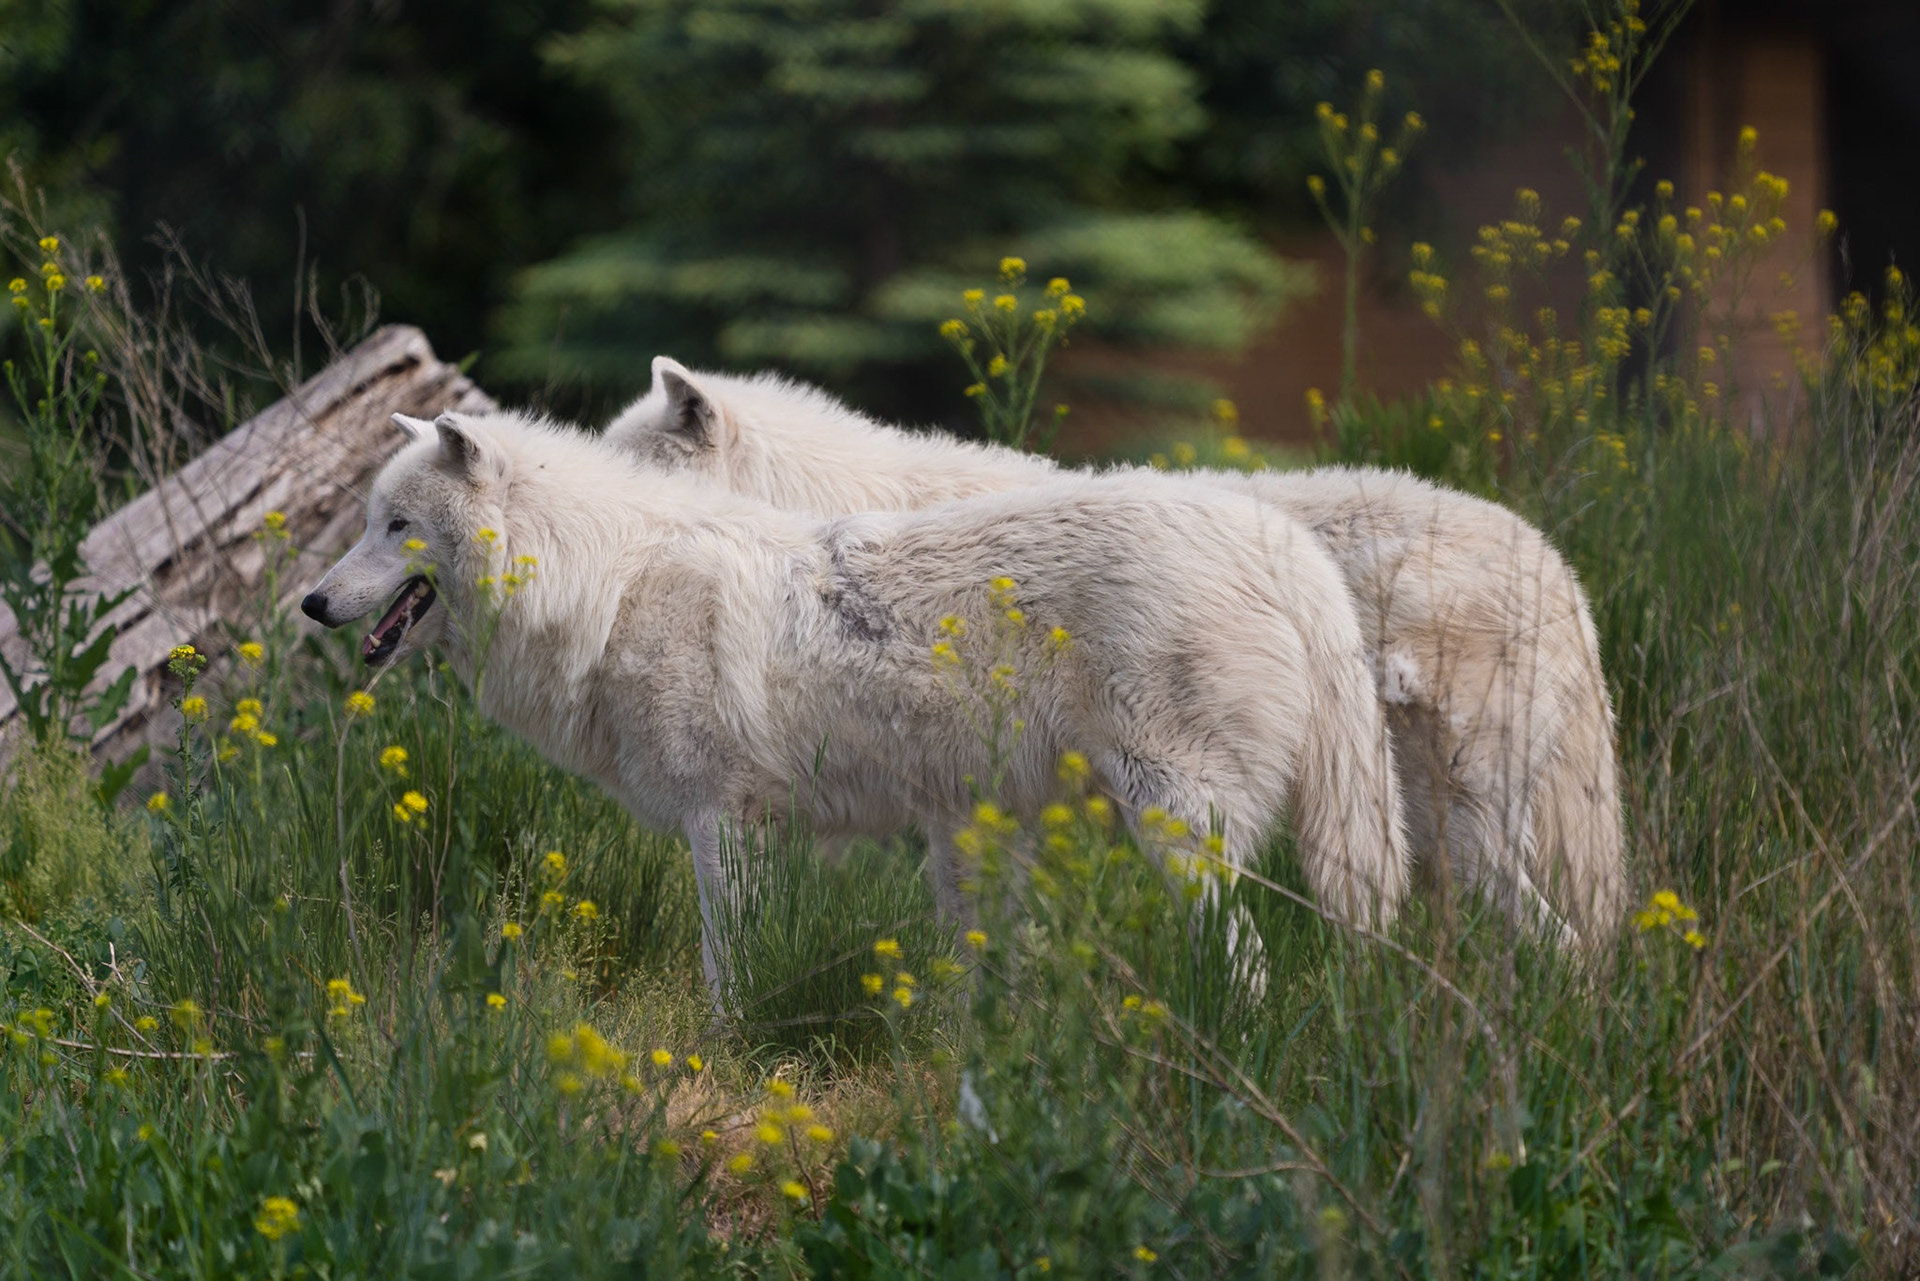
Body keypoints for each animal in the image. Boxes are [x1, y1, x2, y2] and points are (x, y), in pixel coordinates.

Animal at [302, 410, 1409, 992]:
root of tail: (1285, 548)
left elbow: (727, 967)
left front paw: (725, 1050)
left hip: (1176, 825)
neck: (606, 584)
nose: (311, 602)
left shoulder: (724, 821)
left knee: (1249, 961)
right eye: (365, 520)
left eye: (397, 525)